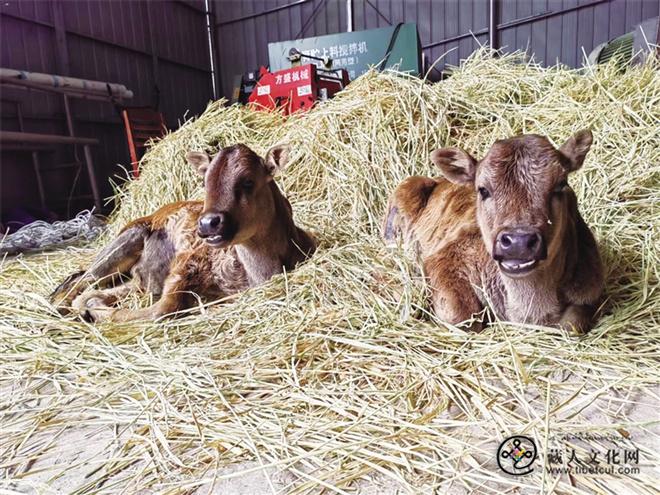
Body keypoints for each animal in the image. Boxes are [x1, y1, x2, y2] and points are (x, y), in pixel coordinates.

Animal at [52, 143, 316, 322]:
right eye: (204, 182)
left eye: (248, 182)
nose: (208, 223)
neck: (258, 274)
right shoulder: (188, 261)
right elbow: (164, 309)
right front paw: (96, 312)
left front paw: (91, 306)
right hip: (124, 241)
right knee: (80, 280)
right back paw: (62, 307)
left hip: (136, 275)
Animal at [382, 131, 604, 334]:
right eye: (483, 190)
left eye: (561, 185)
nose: (518, 242)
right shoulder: (443, 258)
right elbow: (462, 317)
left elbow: (572, 324)